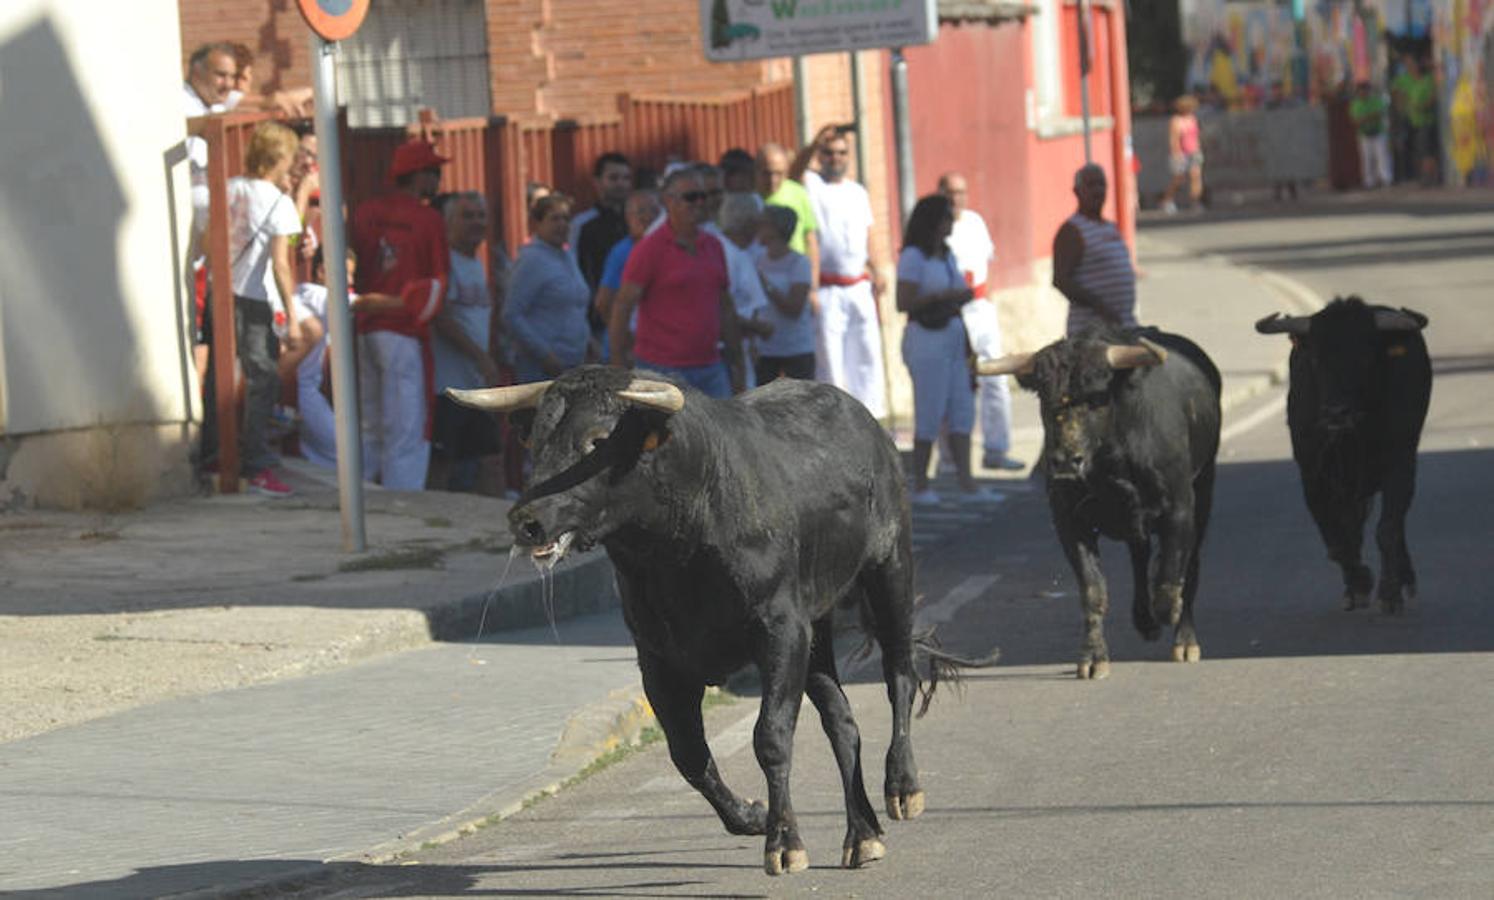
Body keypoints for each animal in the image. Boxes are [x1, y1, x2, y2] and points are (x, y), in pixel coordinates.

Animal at [454, 366, 992, 873]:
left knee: (899, 675)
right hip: (816, 630)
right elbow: (689, 753)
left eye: (598, 440)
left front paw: (784, 843)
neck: (676, 547)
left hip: (890, 571)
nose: (527, 521)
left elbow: (770, 736)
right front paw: (753, 817)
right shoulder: (660, 658)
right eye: (536, 439)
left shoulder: (778, 631)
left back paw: (902, 787)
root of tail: (865, 421)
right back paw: (862, 836)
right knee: (841, 720)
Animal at [980, 325, 1213, 675]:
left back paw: (1184, 641)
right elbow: (1093, 591)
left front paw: (1170, 610)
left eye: (1096, 399)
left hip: (1204, 488)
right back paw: (1145, 621)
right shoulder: (1070, 524)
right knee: (1139, 556)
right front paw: (1092, 658)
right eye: (1043, 396)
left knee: (1190, 561)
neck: (1111, 460)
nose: (1064, 461)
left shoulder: (1180, 508)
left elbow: (1173, 571)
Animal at [1254, 294, 1428, 609]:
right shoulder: (1312, 474)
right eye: (1316, 358)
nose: (1336, 412)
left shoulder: (1400, 462)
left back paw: (1405, 577)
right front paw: (1359, 583)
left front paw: (1388, 591)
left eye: (1366, 357)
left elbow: (1387, 528)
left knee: (1393, 526)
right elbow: (1335, 537)